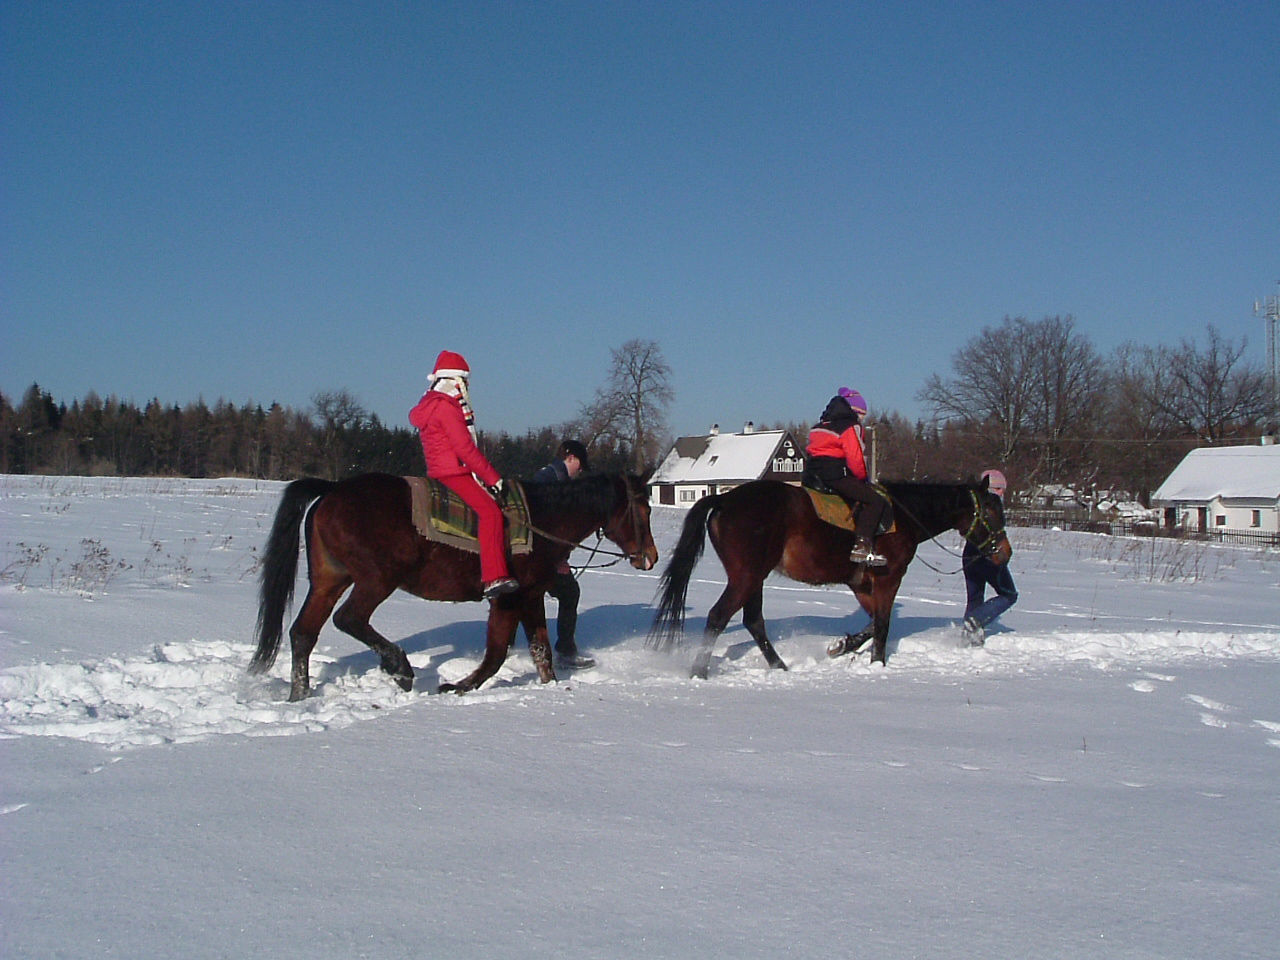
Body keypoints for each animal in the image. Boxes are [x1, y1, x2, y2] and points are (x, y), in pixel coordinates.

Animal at [247, 471, 660, 701]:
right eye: (644, 509)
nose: (651, 556)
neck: (542, 521)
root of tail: (333, 489)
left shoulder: (530, 596)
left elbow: (541, 651)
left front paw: (550, 688)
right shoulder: (507, 598)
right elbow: (495, 655)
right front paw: (458, 687)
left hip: (328, 580)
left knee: (303, 633)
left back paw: (299, 696)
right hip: (376, 580)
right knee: (349, 619)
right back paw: (400, 667)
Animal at [650, 478, 1008, 675]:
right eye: (991, 512)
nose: (1004, 553)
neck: (903, 516)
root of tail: (724, 498)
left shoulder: (861, 583)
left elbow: (873, 623)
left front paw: (844, 646)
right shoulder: (888, 578)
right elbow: (882, 624)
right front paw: (877, 665)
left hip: (753, 578)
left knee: (753, 621)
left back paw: (780, 668)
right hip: (747, 576)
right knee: (718, 616)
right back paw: (700, 671)